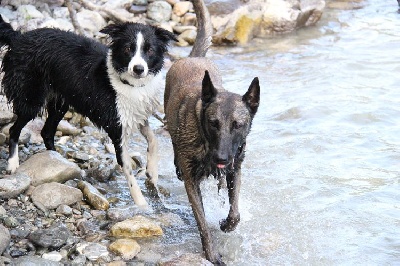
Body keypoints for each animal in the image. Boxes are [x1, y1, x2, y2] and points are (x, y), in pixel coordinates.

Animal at [0, 15, 176, 207]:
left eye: (149, 50)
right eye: (128, 49)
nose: (138, 69)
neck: (129, 84)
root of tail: (19, 38)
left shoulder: (137, 116)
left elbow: (153, 140)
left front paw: (152, 173)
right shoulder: (116, 127)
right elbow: (128, 170)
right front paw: (142, 206)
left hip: (60, 102)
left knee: (46, 131)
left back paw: (57, 159)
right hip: (31, 99)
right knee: (14, 129)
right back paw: (13, 164)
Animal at [162, 0, 260, 264]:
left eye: (237, 125)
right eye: (213, 123)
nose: (221, 158)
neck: (207, 143)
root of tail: (193, 57)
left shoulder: (235, 169)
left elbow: (235, 211)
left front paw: (227, 224)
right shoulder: (192, 182)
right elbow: (203, 224)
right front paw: (211, 253)